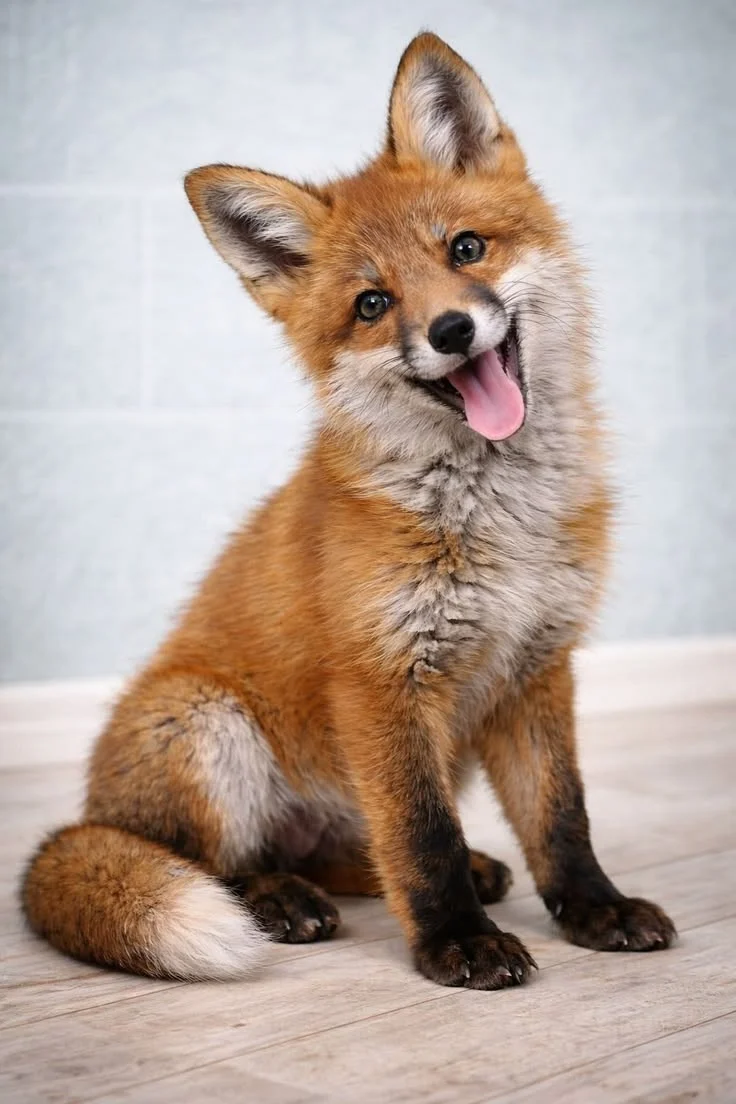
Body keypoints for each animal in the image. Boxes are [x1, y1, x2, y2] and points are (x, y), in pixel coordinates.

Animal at [22, 32, 675, 990]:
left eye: (466, 248)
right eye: (373, 304)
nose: (450, 331)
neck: (497, 519)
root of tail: (88, 818)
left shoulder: (537, 671)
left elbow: (562, 820)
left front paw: (595, 908)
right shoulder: (383, 683)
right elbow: (423, 838)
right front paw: (457, 941)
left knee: (354, 855)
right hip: (207, 728)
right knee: (216, 863)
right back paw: (275, 901)